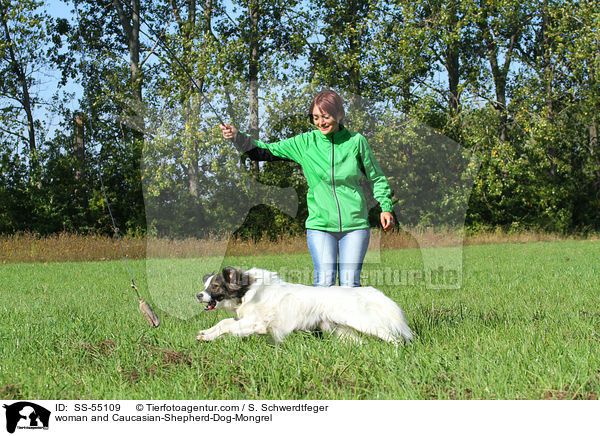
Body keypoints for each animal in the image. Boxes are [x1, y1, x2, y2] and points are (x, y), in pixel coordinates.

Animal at [197, 266, 412, 344]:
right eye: (206, 285)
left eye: (215, 286)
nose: (198, 295)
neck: (247, 290)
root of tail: (365, 291)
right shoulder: (247, 321)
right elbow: (224, 323)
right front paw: (205, 334)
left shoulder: (255, 323)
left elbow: (226, 326)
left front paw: (208, 336)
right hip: (343, 331)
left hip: (365, 324)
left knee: (394, 338)